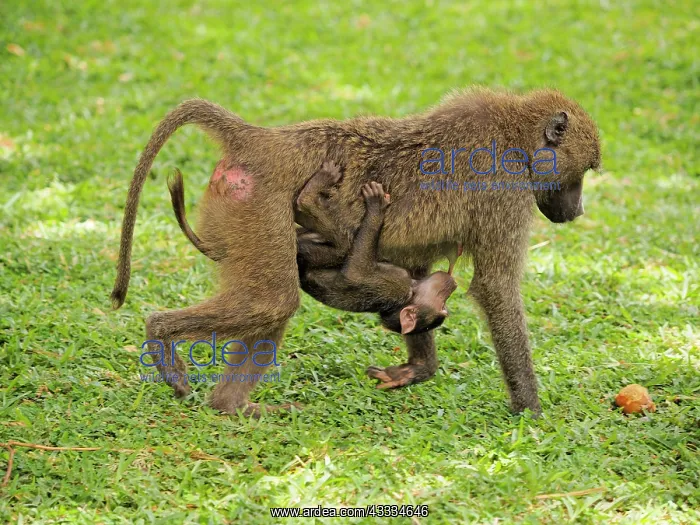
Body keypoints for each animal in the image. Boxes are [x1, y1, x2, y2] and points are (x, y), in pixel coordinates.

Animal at [111, 88, 601, 416]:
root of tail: (264, 140)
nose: (578, 210)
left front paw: (417, 368)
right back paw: (161, 334)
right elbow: (496, 287)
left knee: (273, 304)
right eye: (584, 172)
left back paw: (231, 406)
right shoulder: (505, 192)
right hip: (258, 207)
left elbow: (415, 272)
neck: (514, 132)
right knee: (272, 301)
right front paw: (531, 412)